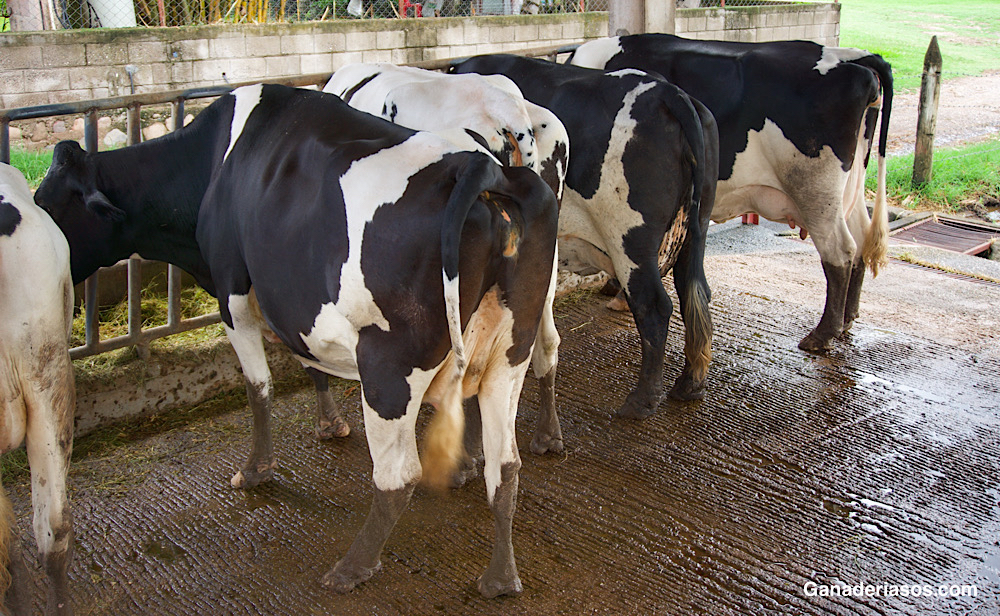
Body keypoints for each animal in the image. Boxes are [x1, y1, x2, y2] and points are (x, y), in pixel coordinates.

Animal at [454, 55, 720, 416]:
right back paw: (690, 382)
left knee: (654, 305)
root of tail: (670, 93)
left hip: (631, 241)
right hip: (696, 229)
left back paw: (642, 401)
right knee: (696, 291)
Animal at [576, 33, 896, 352]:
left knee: (840, 252)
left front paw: (618, 292)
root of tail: (854, 59)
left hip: (816, 192)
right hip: (850, 186)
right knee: (861, 238)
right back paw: (848, 319)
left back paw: (823, 334)